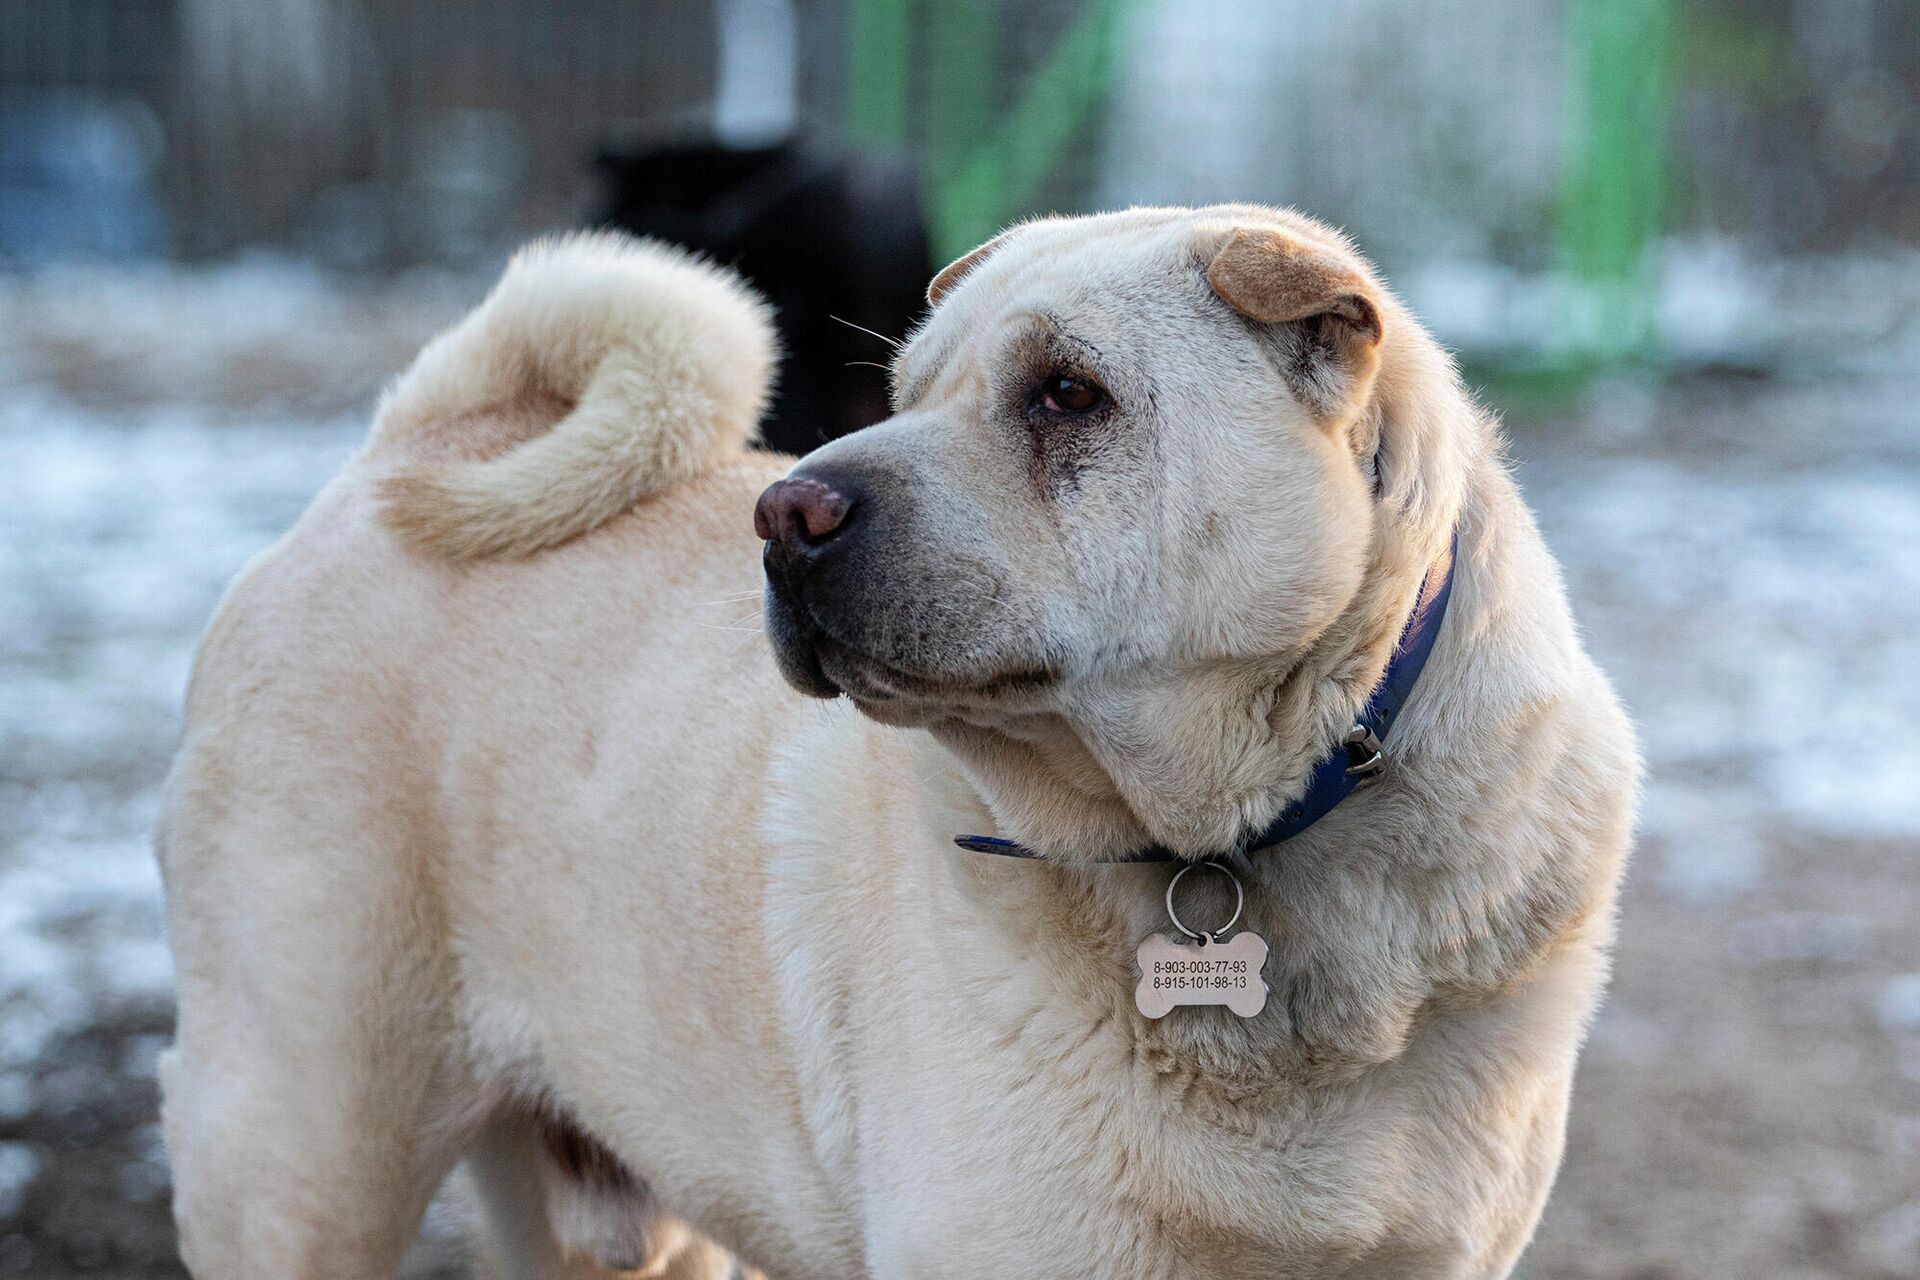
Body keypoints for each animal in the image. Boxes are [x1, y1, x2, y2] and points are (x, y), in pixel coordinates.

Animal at [157, 205, 1643, 1274]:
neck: (1239, 850)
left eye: (1067, 394)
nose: (788, 516)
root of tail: (401, 456)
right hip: (301, 1153)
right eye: (903, 391)